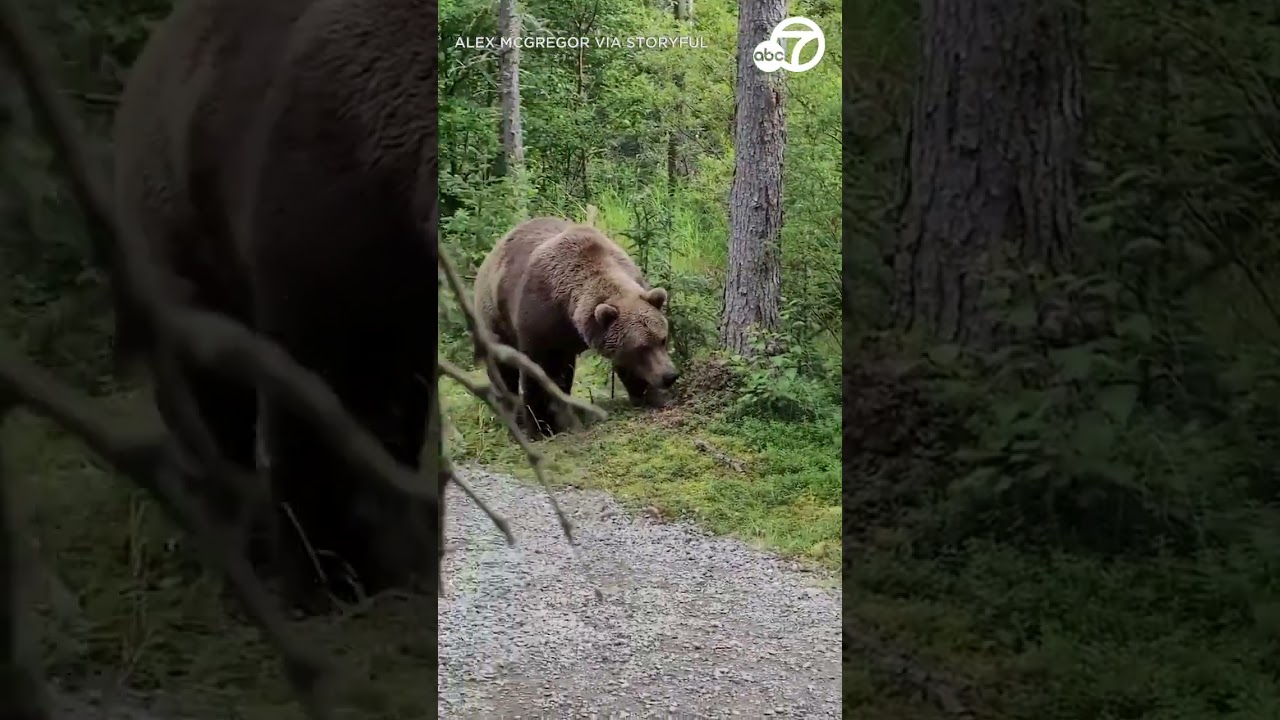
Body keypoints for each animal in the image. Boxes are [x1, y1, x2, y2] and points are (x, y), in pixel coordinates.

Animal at [473, 217, 680, 437]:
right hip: (495, 316)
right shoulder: (539, 320)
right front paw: (541, 426)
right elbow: (536, 373)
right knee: (504, 368)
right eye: (641, 347)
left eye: (662, 339)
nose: (669, 375)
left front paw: (649, 395)